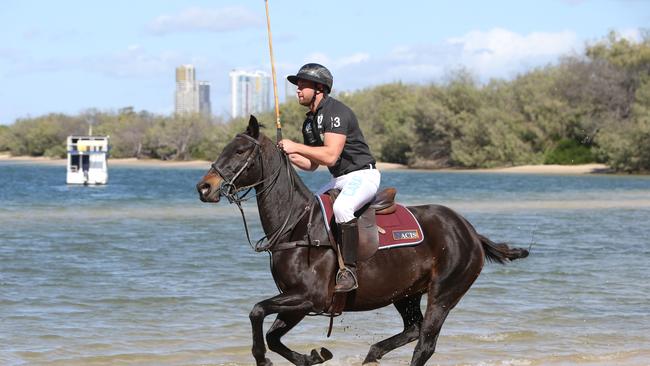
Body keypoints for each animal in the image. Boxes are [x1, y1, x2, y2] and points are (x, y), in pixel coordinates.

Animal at [196, 116, 528, 366]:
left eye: (240, 151)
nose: (204, 187)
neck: (297, 226)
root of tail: (470, 231)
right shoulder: (297, 300)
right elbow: (273, 335)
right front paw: (314, 356)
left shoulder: (310, 296)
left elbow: (257, 312)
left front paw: (262, 358)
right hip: (405, 292)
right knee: (413, 328)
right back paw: (372, 354)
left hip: (444, 292)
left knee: (425, 343)